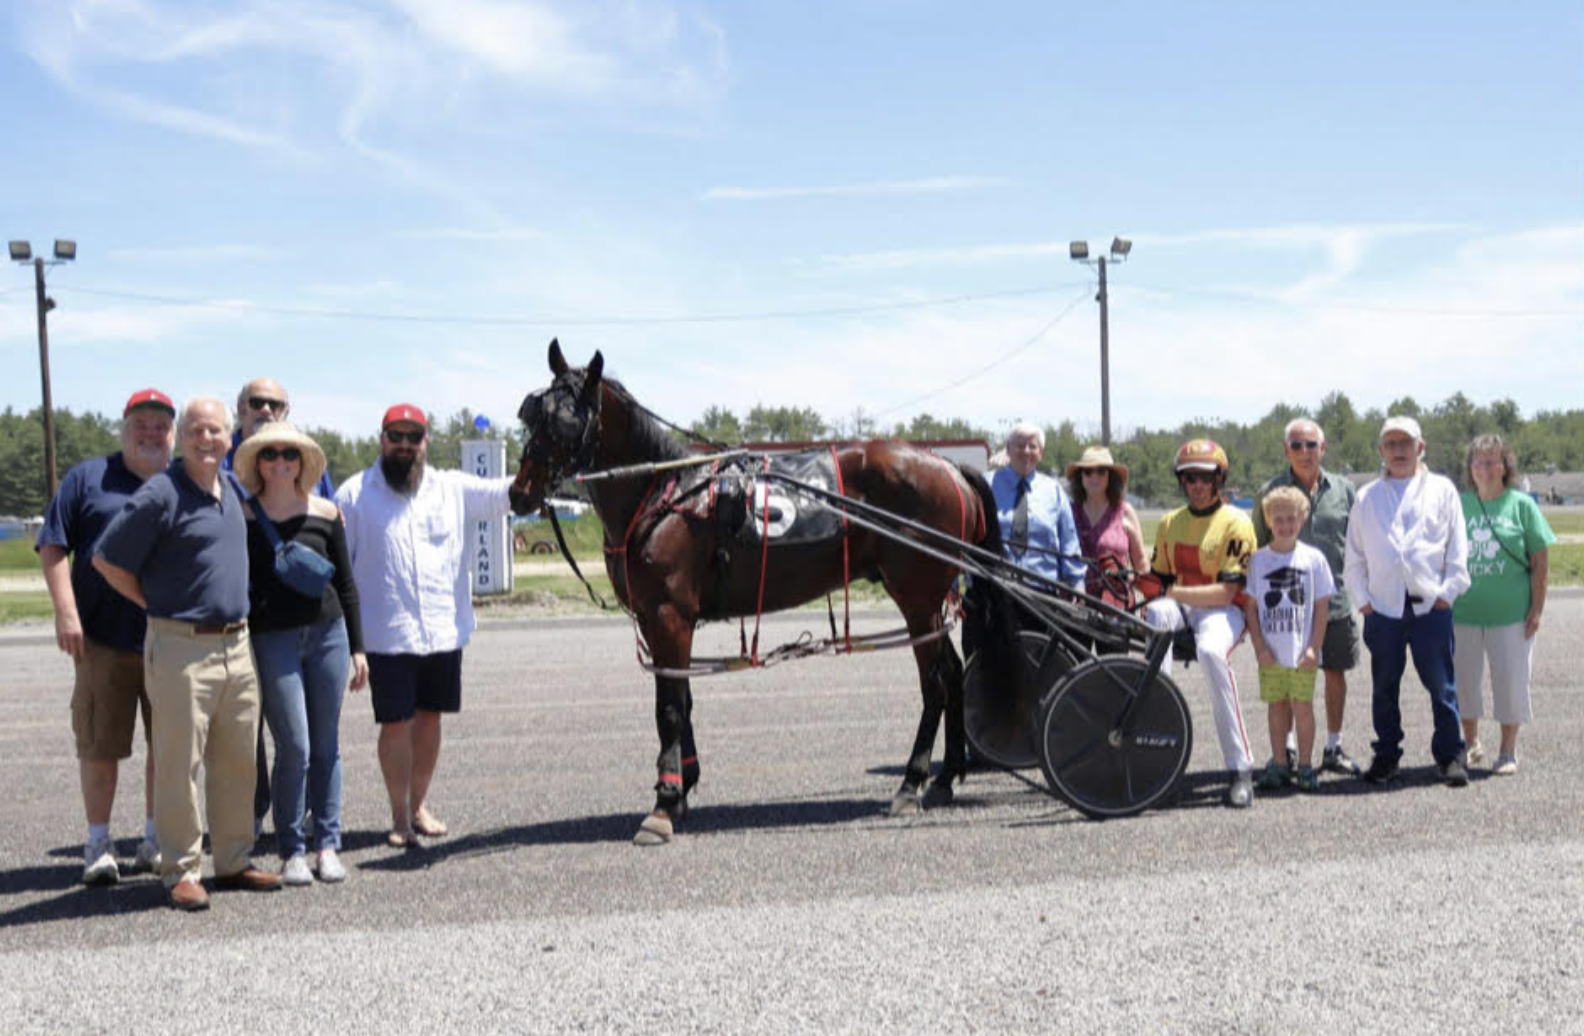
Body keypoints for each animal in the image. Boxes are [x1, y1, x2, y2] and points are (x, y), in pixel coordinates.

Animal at [510, 340, 1011, 845]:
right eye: (531, 413)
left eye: (566, 418)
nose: (519, 492)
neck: (667, 495)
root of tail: (949, 466)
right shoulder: (658, 620)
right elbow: (683, 701)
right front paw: (683, 787)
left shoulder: (670, 615)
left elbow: (668, 708)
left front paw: (664, 804)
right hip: (928, 601)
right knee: (952, 673)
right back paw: (944, 778)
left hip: (917, 598)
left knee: (936, 682)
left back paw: (911, 783)